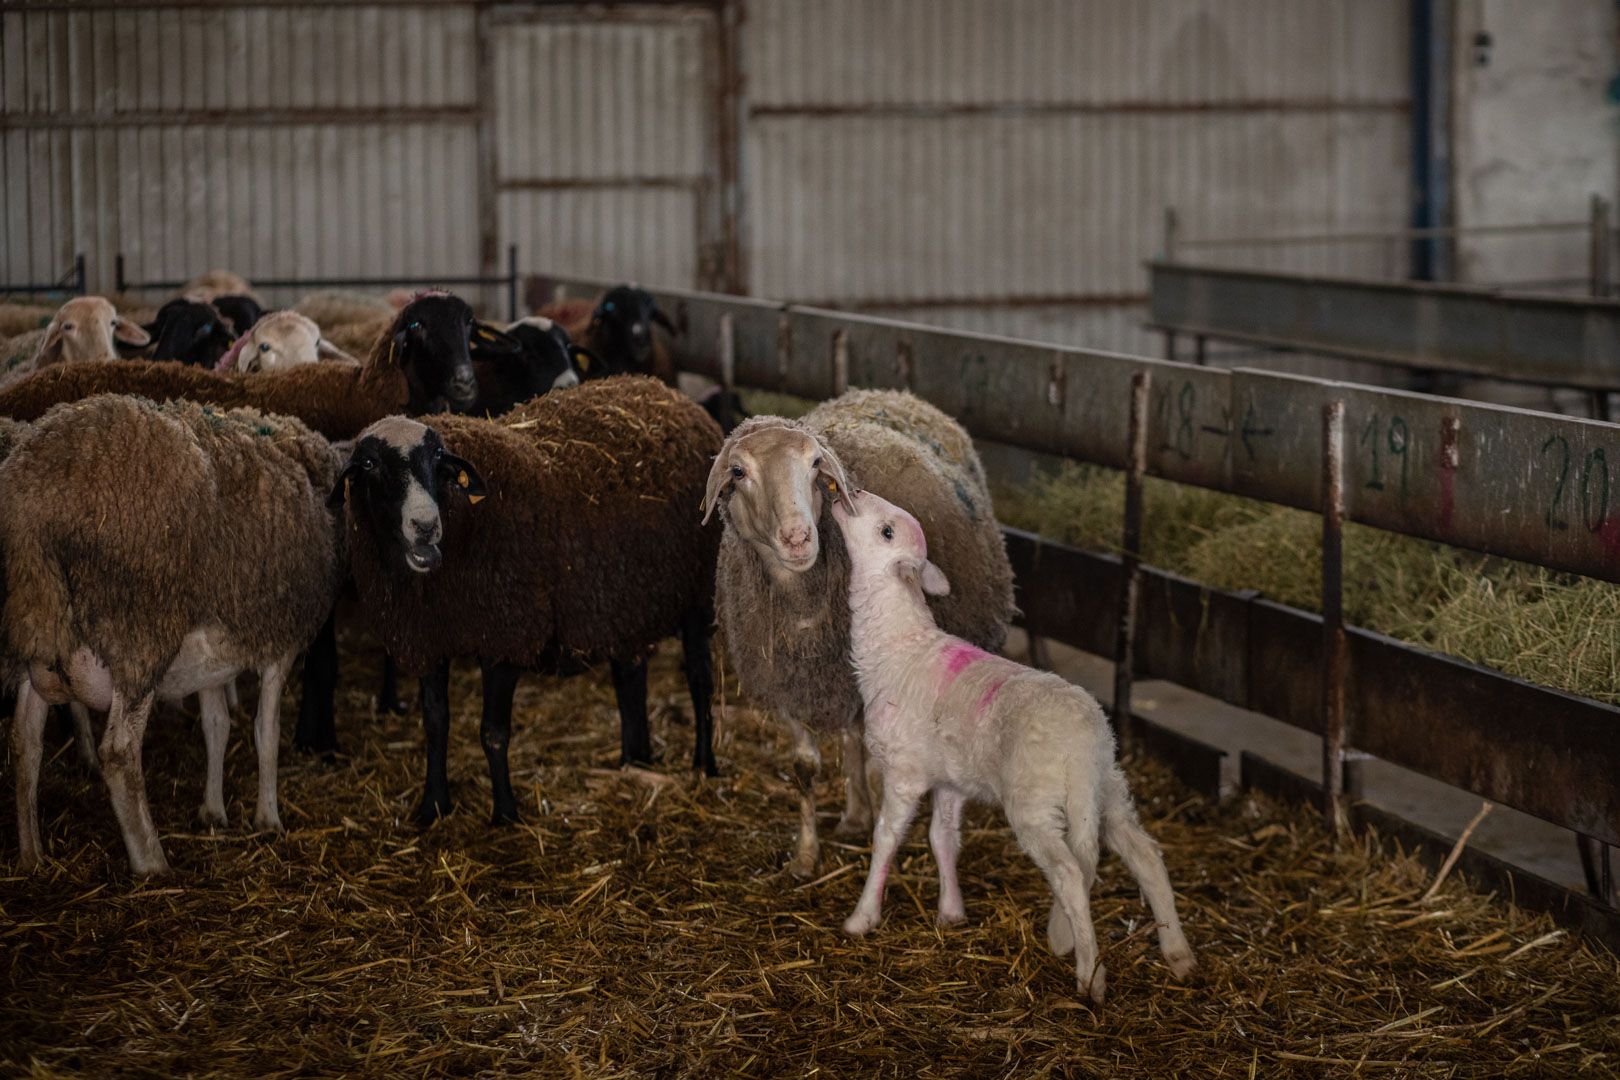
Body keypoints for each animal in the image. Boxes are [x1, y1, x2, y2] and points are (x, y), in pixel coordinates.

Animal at [2, 396, 345, 880]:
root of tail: (30, 508)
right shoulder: (281, 644)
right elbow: (267, 731)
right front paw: (268, 819)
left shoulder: (212, 658)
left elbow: (216, 725)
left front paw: (213, 812)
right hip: (138, 633)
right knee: (119, 753)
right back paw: (152, 861)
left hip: (36, 635)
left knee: (25, 743)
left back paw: (33, 854)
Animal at [328, 375, 722, 822]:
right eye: (370, 465)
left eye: (438, 461)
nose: (426, 526)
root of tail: (674, 397)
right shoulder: (428, 641)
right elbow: (435, 724)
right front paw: (434, 805)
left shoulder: (506, 636)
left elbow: (493, 733)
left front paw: (505, 813)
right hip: (627, 601)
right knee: (630, 676)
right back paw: (633, 760)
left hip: (697, 591)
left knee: (700, 681)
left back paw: (703, 764)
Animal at [706, 388, 1017, 880]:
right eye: (738, 472)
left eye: (816, 463)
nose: (799, 538)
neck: (805, 608)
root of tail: (893, 394)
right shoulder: (785, 686)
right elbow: (805, 769)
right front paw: (805, 855)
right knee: (853, 736)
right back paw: (854, 815)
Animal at [835, 488, 1192, 1003]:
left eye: (886, 531)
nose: (855, 491)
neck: (898, 644)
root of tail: (1085, 743)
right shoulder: (951, 779)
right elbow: (943, 838)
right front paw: (951, 912)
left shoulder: (903, 772)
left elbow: (886, 840)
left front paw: (862, 918)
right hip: (1108, 790)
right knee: (1146, 855)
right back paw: (1178, 954)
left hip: (1035, 803)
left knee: (1070, 874)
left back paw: (1090, 975)